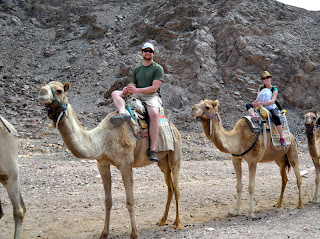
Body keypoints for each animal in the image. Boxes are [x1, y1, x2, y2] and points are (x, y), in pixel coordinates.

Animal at [37, 81, 181, 238]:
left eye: (59, 90)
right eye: (46, 85)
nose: (42, 91)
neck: (102, 140)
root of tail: (173, 126)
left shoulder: (126, 164)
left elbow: (130, 201)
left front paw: (134, 234)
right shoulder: (102, 163)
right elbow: (108, 201)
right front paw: (104, 233)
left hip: (175, 155)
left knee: (176, 187)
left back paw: (177, 223)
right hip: (162, 162)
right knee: (170, 187)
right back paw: (162, 220)